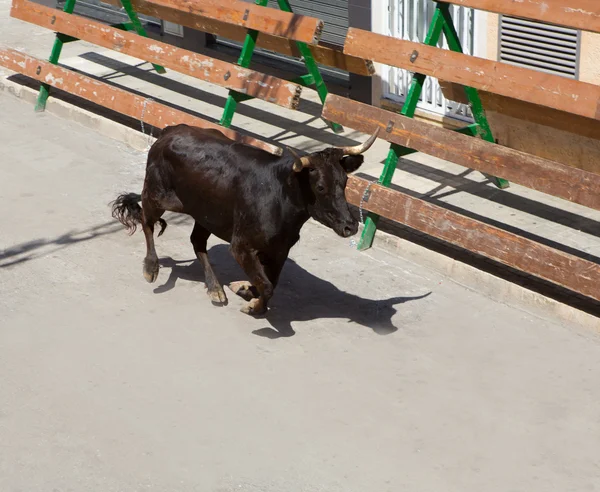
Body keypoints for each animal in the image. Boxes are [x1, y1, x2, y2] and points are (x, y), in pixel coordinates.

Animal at [110, 124, 378, 316]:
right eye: (320, 187)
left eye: (344, 182)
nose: (350, 226)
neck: (280, 193)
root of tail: (170, 131)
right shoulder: (241, 246)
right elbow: (267, 285)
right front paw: (252, 304)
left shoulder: (280, 249)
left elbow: (270, 281)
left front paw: (246, 290)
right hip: (157, 195)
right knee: (146, 220)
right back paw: (151, 268)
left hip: (206, 214)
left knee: (197, 242)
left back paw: (215, 288)